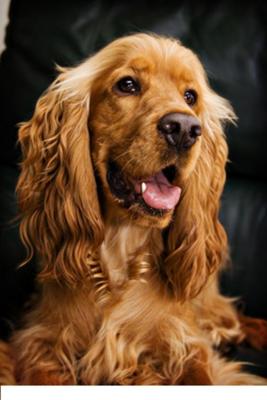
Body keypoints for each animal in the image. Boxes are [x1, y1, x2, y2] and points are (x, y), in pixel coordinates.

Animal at [1, 32, 266, 382]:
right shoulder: (41, 342)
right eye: (127, 84)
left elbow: (200, 372)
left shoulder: (185, 344)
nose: (185, 128)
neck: (119, 249)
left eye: (190, 96)